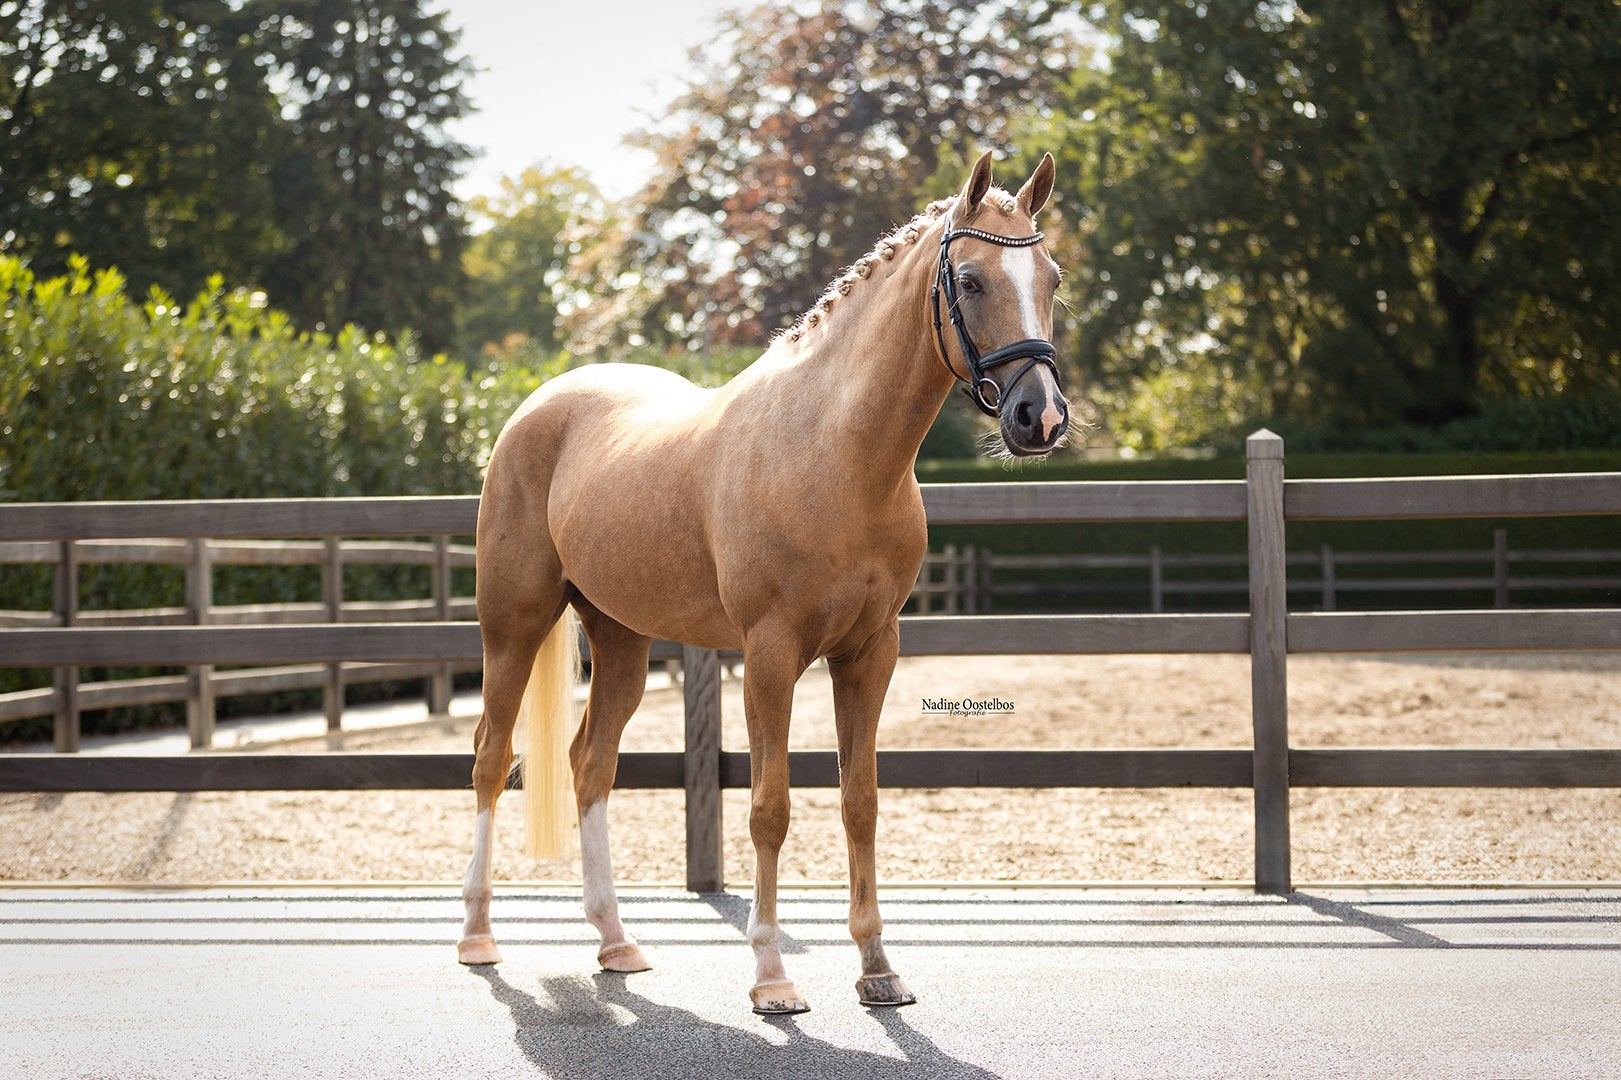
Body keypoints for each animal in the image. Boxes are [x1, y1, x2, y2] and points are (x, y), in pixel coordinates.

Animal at [457, 151, 1071, 1013]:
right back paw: (478, 935)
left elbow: (859, 801)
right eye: (972, 279)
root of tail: (535, 408)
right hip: (514, 623)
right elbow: (769, 809)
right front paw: (772, 977)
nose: (1039, 418)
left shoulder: (869, 653)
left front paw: (876, 968)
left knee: (589, 763)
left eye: (1049, 277)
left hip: (622, 638)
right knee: (489, 755)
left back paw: (616, 942)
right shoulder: (770, 655)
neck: (833, 453)